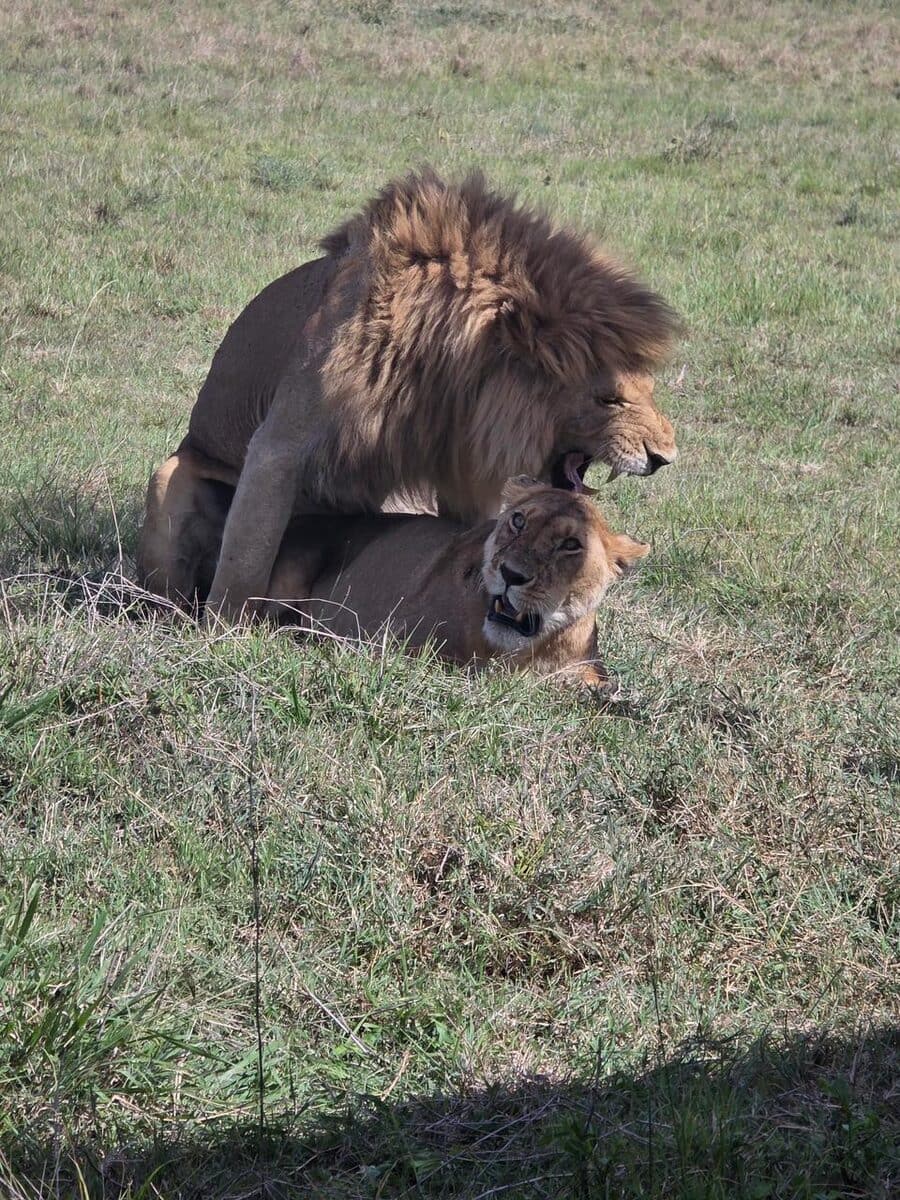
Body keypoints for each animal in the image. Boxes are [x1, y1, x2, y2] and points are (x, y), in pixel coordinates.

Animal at [137, 169, 677, 620]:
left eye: (648, 389)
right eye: (610, 399)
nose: (664, 458)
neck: (449, 371)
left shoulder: (461, 471)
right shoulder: (279, 445)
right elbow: (246, 556)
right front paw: (222, 637)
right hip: (167, 480)